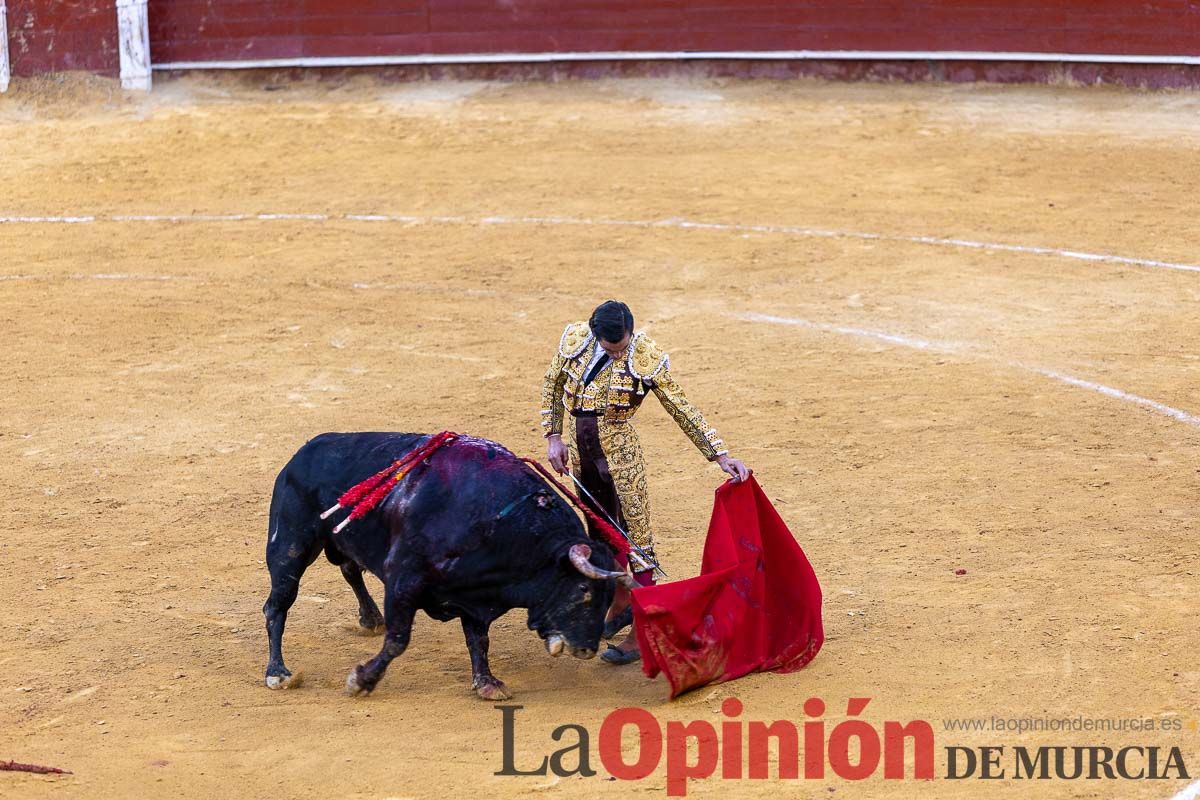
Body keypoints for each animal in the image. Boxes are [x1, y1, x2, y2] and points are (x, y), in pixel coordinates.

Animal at [266, 431, 633, 700]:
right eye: (583, 589)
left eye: (608, 596)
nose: (587, 649)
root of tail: (304, 451)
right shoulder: (404, 580)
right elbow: (399, 640)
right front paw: (362, 680)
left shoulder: (475, 593)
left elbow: (478, 639)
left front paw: (487, 683)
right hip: (290, 545)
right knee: (277, 604)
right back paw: (278, 673)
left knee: (349, 568)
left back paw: (371, 619)